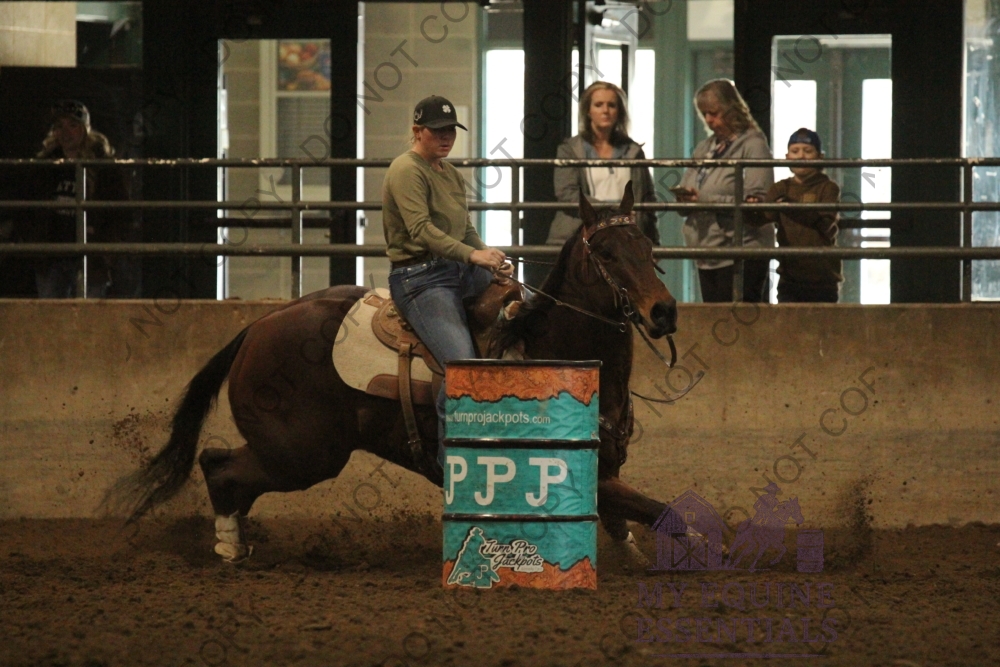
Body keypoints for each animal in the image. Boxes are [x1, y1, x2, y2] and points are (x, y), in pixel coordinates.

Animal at [103, 182, 680, 568]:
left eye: (649, 246)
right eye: (605, 253)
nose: (664, 311)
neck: (547, 347)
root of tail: (259, 326)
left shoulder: (605, 469)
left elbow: (625, 520)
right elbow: (665, 512)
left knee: (220, 465)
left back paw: (235, 539)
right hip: (302, 454)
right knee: (221, 467)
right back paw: (227, 544)